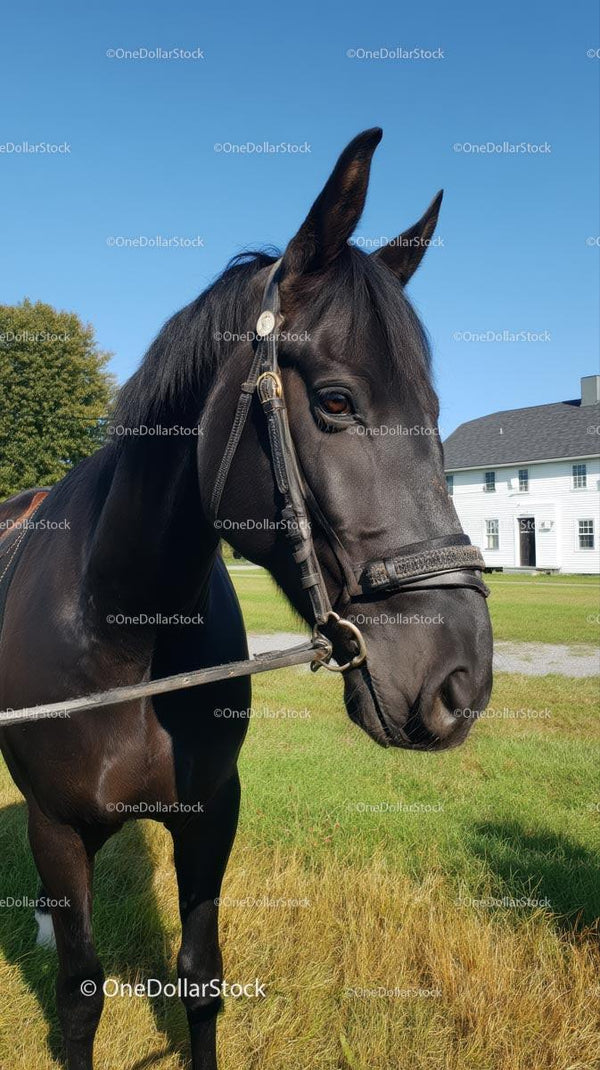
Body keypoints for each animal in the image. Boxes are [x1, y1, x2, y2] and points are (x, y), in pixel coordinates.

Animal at [0, 128, 493, 1070]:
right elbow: (81, 998)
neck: (123, 634)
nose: (461, 683)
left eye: (434, 410)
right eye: (336, 401)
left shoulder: (210, 817)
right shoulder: (56, 829)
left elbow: (200, 977)